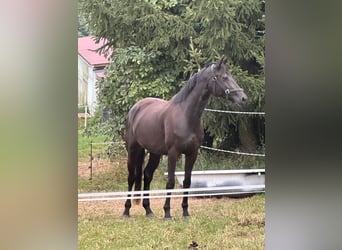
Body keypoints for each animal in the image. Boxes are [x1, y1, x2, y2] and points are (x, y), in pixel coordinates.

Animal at [121, 58, 247, 219]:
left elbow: (187, 182)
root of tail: (135, 108)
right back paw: (126, 211)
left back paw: (149, 211)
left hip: (155, 153)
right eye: (224, 77)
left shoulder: (192, 153)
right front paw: (167, 213)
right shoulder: (173, 153)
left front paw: (185, 212)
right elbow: (170, 182)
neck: (186, 116)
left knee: (147, 175)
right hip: (133, 149)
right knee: (131, 177)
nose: (243, 98)